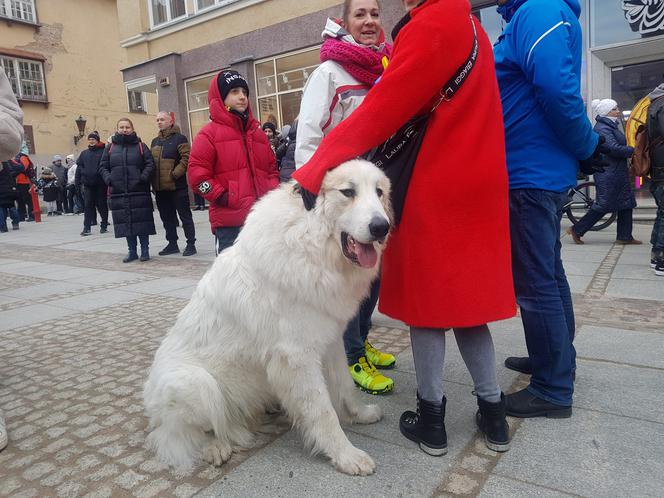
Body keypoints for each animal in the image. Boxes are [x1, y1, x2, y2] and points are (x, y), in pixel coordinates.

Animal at [144, 160, 394, 474]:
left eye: (379, 192)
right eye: (348, 192)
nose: (381, 227)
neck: (311, 244)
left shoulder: (331, 340)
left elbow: (344, 386)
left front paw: (359, 414)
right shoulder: (297, 357)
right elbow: (322, 411)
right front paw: (346, 455)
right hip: (197, 384)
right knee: (180, 437)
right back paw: (215, 448)